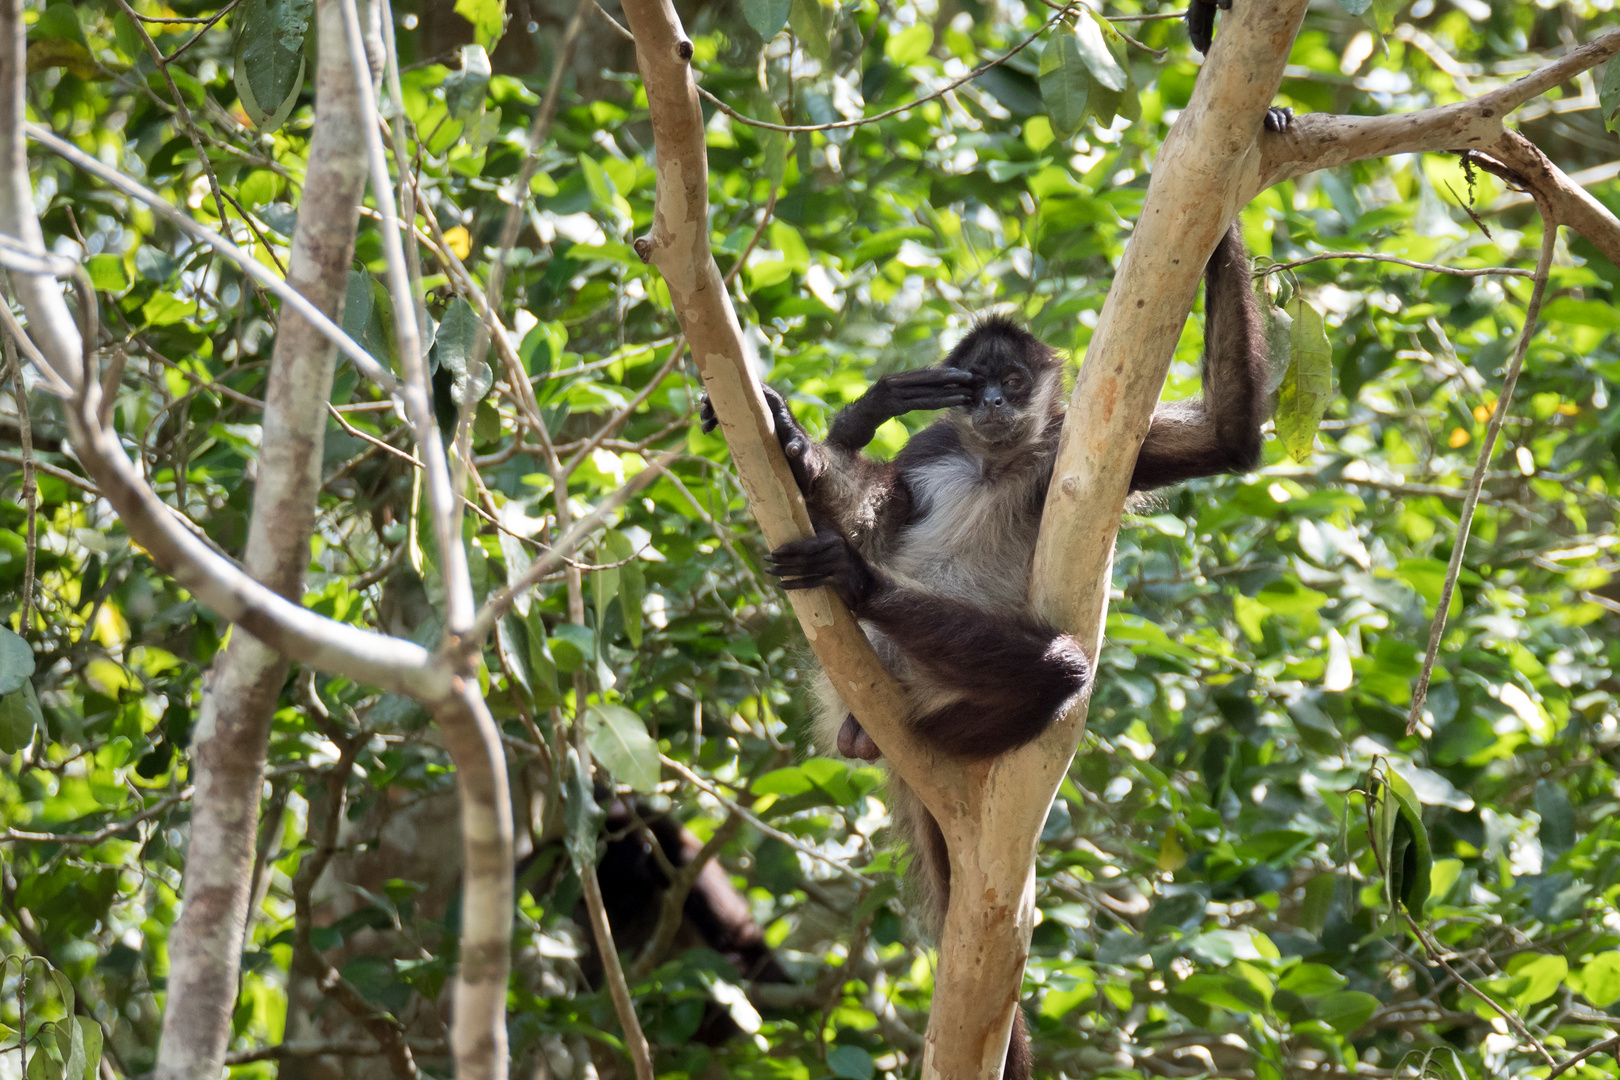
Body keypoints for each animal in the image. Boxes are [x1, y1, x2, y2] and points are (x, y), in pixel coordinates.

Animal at [703, 213, 1283, 1080]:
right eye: (976, 386)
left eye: (1012, 380)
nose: (995, 402)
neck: (994, 460)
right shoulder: (936, 447)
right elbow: (881, 506)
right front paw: (818, 435)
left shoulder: (1072, 446)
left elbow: (1227, 439)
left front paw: (1225, 224)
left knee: (1063, 669)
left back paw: (874, 621)